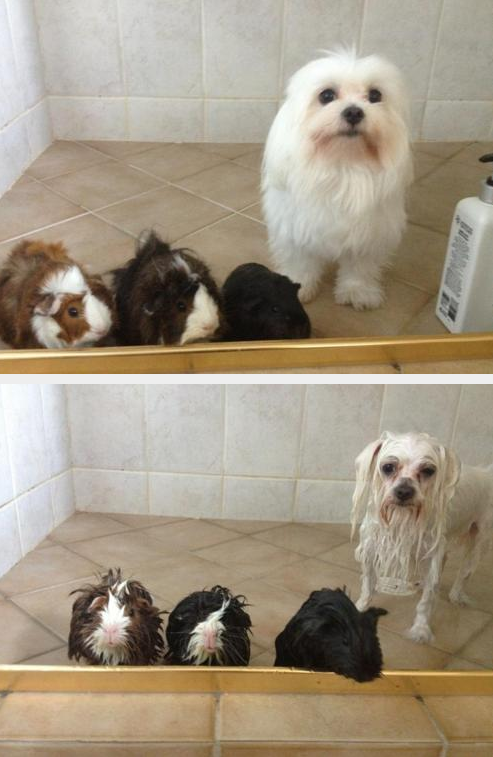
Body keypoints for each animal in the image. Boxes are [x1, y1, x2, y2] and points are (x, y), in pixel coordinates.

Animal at [262, 48, 412, 308]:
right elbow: (301, 263)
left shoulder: (370, 234)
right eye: (327, 95)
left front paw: (357, 291)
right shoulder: (295, 231)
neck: (343, 165)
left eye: (375, 95)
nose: (353, 111)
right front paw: (298, 286)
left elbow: (360, 267)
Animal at [350, 432, 492, 644]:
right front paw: (360, 606)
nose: (403, 491)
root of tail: (486, 473)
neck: (402, 517)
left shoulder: (431, 552)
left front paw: (421, 629)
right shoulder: (372, 546)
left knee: (464, 573)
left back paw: (456, 595)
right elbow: (367, 584)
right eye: (388, 467)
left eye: (428, 470)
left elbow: (426, 601)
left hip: (479, 540)